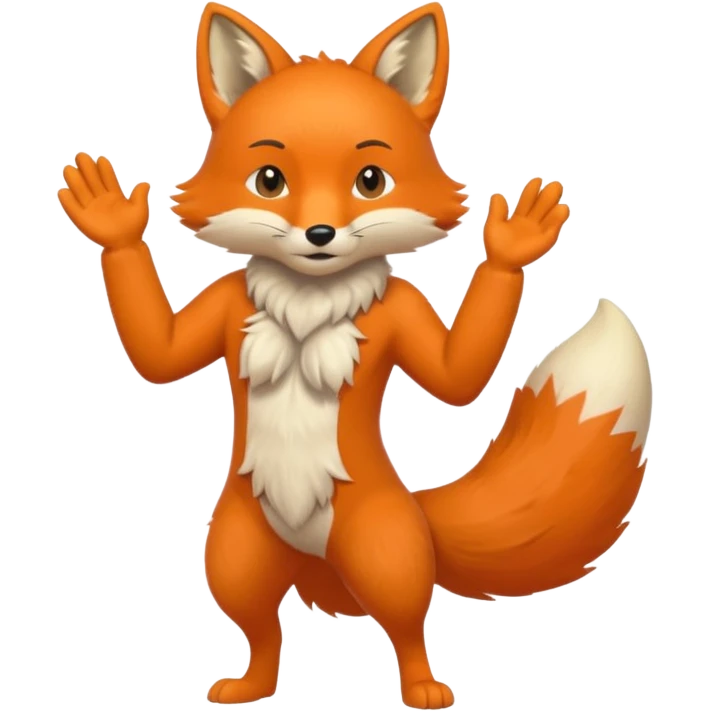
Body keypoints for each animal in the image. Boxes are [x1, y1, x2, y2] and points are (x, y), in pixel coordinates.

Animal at [56, 1, 654, 709]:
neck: (309, 298)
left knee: (406, 622)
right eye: (270, 180)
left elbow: (457, 380)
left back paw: (422, 686)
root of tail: (312, 555)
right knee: (261, 627)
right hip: (235, 550)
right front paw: (112, 223)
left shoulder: (401, 312)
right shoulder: (226, 304)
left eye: (371, 180)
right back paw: (252, 684)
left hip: (383, 549)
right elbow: (158, 357)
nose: (320, 233)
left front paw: (512, 246)